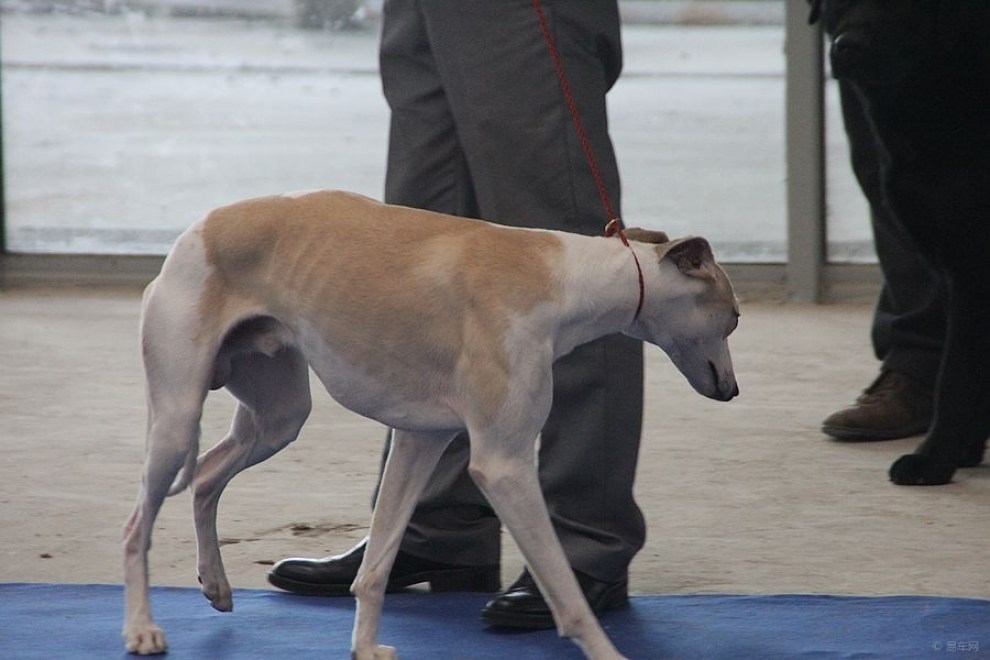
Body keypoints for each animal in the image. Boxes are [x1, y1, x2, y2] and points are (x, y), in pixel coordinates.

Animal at [124, 188, 740, 656]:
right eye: (732, 318)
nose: (732, 391)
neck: (564, 280)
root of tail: (196, 229)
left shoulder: (420, 440)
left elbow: (374, 569)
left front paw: (365, 648)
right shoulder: (503, 465)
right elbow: (568, 597)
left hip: (278, 414)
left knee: (207, 475)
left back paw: (215, 584)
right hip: (176, 416)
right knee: (137, 526)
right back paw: (142, 630)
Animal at [812, 1, 990, 484]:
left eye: (898, 6)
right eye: (836, 5)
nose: (848, 46)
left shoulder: (972, 271)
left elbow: (955, 376)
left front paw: (932, 459)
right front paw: (962, 451)